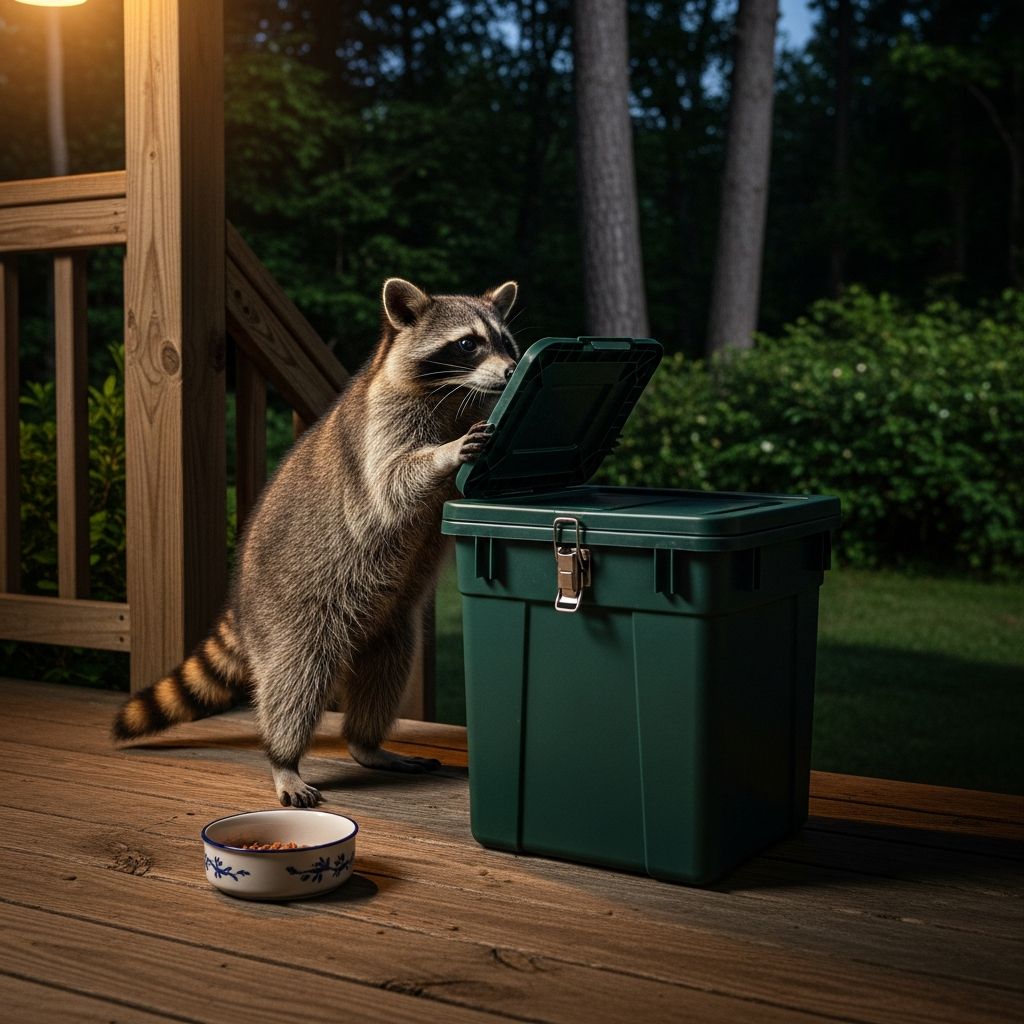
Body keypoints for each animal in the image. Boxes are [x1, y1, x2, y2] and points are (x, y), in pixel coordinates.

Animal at [113, 277, 519, 807]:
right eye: (468, 344)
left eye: (506, 342)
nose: (512, 369)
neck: (454, 395)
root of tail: (241, 599)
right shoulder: (382, 424)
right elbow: (391, 485)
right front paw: (445, 454)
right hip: (292, 615)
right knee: (295, 682)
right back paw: (283, 758)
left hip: (388, 624)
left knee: (385, 670)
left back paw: (366, 742)